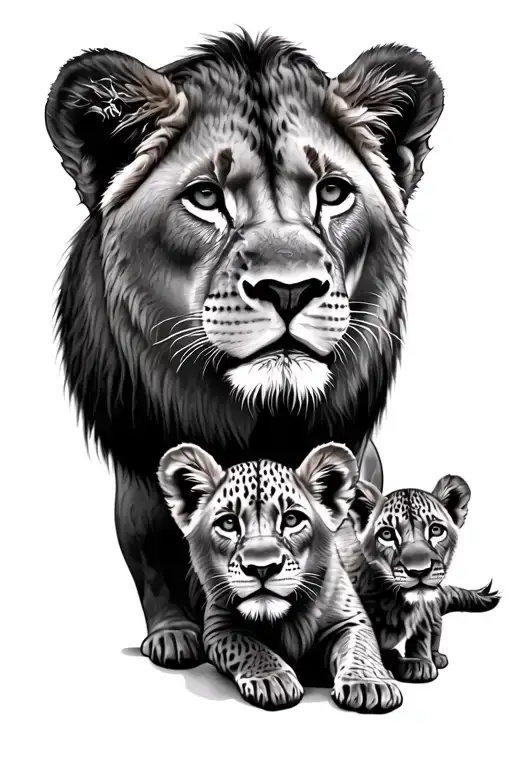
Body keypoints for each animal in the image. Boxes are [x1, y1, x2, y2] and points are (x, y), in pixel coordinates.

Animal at [45, 31, 444, 667]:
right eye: (206, 197)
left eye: (333, 192)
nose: (290, 289)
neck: (254, 417)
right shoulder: (141, 476)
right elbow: (149, 555)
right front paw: (173, 635)